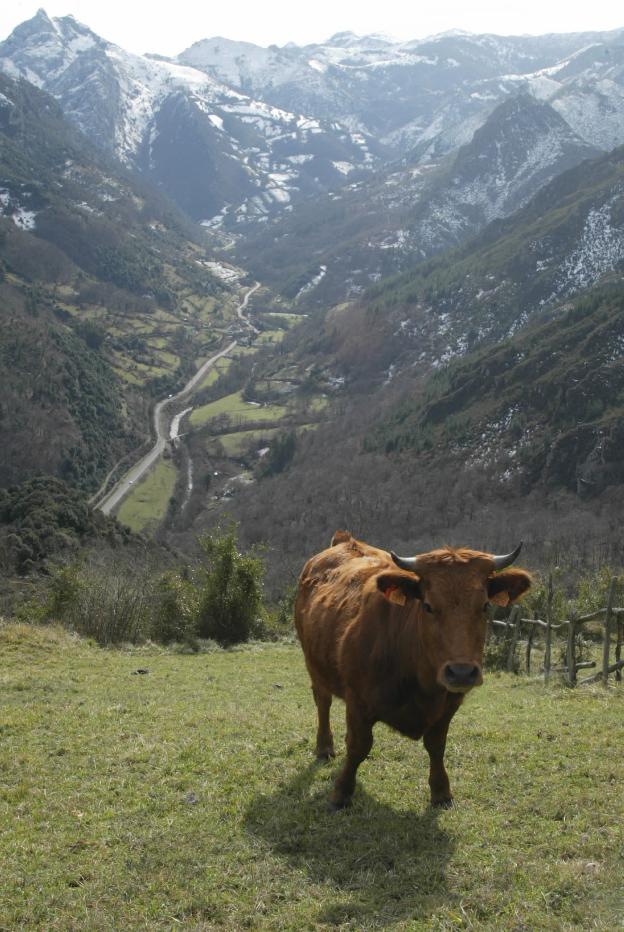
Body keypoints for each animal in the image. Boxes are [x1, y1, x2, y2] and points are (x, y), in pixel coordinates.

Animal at [294, 532, 528, 808]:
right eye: (427, 606)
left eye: (485, 606)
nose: (461, 672)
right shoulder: (358, 701)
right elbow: (358, 746)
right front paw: (342, 792)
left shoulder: (449, 704)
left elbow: (437, 745)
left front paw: (441, 791)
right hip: (313, 664)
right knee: (323, 702)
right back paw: (324, 748)